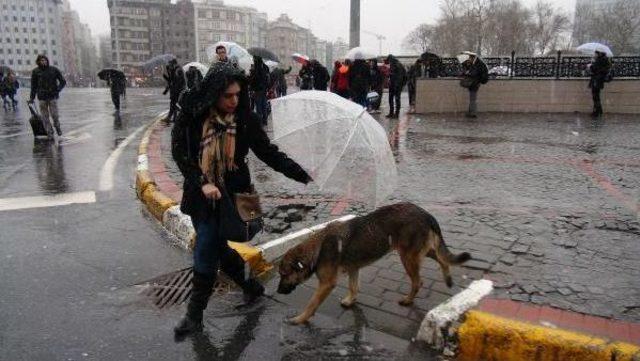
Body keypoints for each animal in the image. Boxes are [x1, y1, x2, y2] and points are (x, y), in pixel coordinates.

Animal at [276, 202, 470, 324]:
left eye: (284, 274)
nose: (277, 291)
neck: (317, 249)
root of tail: (426, 214)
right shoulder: (354, 269)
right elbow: (353, 287)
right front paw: (350, 301)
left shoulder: (326, 284)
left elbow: (312, 304)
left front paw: (300, 319)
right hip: (419, 251)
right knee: (441, 257)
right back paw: (447, 277)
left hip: (407, 256)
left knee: (418, 281)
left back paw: (408, 300)